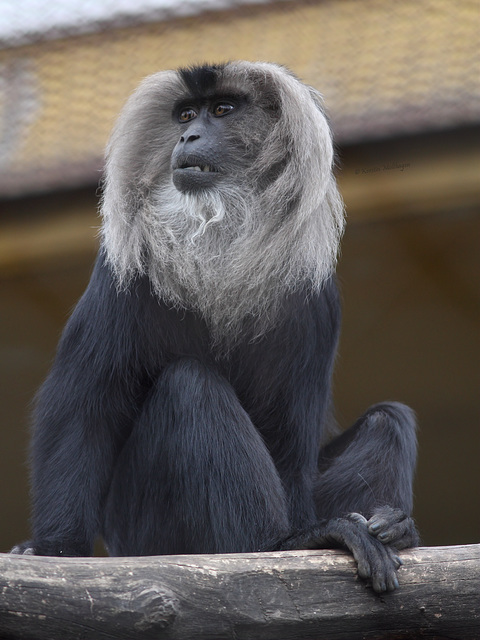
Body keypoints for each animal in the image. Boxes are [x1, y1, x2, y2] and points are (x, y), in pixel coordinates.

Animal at [11, 62, 418, 592]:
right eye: (186, 115)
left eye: (222, 110)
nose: (188, 136)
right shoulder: (124, 272)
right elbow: (84, 407)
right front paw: (56, 552)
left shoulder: (314, 297)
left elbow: (290, 442)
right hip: (144, 532)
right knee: (189, 386)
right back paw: (281, 544)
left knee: (387, 421)